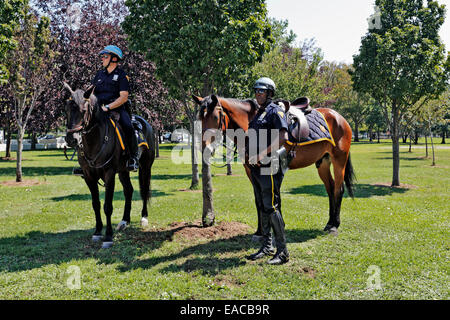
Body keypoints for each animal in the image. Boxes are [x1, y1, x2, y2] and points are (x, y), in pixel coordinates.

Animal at [62, 82, 156, 248]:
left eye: (83, 111)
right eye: (66, 109)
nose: (71, 139)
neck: (94, 141)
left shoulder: (109, 174)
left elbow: (107, 206)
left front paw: (108, 236)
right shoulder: (89, 176)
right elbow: (96, 204)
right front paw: (98, 232)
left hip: (145, 167)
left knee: (144, 190)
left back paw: (144, 218)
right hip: (124, 170)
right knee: (129, 190)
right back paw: (124, 221)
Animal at [193, 95, 356, 235]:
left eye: (215, 117)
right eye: (199, 118)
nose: (204, 147)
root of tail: (339, 117)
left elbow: (273, 200)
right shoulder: (251, 171)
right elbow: (259, 201)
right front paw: (260, 231)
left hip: (339, 160)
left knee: (338, 190)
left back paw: (335, 225)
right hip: (322, 163)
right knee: (330, 189)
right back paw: (329, 223)